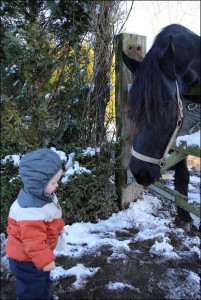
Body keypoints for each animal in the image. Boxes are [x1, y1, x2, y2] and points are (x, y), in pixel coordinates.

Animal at [121, 24, 200, 230]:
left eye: (165, 104)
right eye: (132, 105)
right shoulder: (179, 135)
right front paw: (184, 216)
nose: (139, 172)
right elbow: (182, 175)